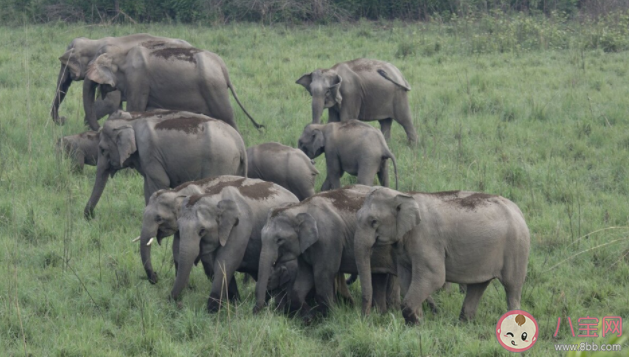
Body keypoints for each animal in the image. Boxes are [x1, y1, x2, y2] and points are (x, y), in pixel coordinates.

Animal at [84, 40, 262, 132]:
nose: (98, 128)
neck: (121, 52)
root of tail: (222, 66)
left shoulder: (137, 80)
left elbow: (135, 108)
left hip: (214, 87)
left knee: (226, 116)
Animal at [84, 110, 247, 218]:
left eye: (102, 149)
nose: (89, 216)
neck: (132, 120)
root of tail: (240, 142)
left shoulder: (150, 153)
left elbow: (159, 182)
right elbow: (147, 185)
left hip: (220, 162)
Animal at [354, 188, 528, 324]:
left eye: (374, 221)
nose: (366, 319)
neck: (404, 195)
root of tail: (518, 210)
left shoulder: (426, 239)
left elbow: (434, 277)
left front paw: (416, 323)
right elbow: (406, 277)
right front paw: (416, 324)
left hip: (516, 247)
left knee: (512, 287)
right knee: (478, 285)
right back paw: (463, 325)